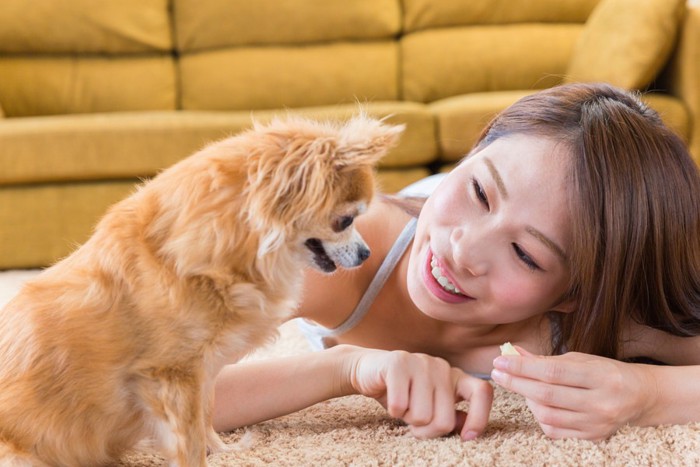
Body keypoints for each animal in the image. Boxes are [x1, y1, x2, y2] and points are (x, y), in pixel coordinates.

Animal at [0, 115, 402, 466]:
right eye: (346, 220)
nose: (367, 253)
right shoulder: (175, 376)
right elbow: (189, 439)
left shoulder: (204, 371)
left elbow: (207, 417)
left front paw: (224, 451)